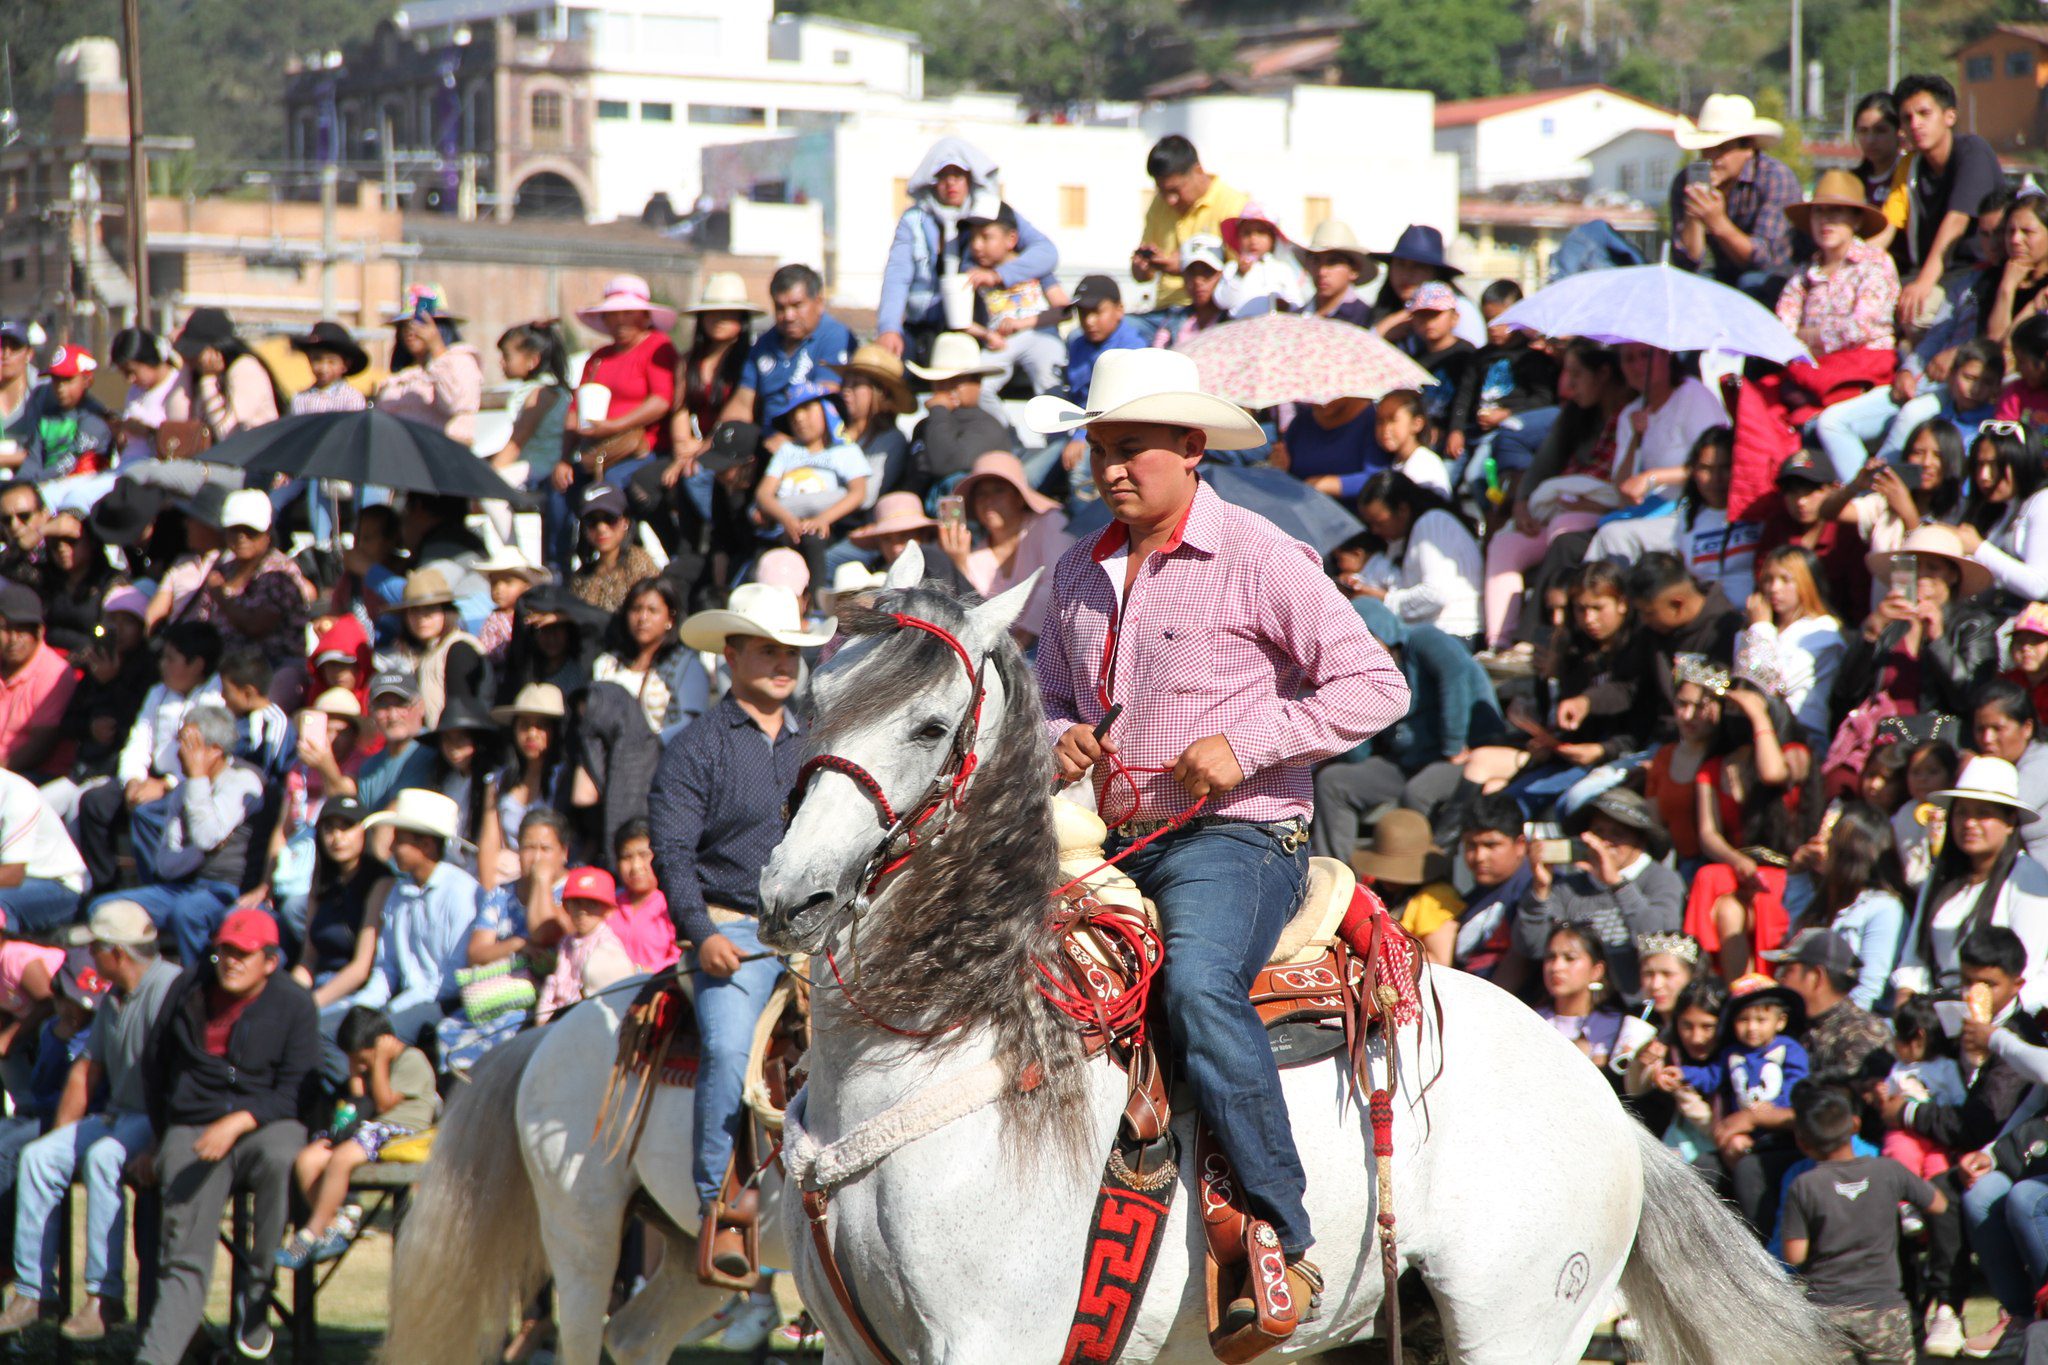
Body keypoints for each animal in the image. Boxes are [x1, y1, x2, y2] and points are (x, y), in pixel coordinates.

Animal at [757, 548, 1843, 1365]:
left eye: (929, 724)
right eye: (814, 703)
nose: (790, 895)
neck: (943, 1038)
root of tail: (1605, 1101)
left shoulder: (994, 1339)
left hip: (1518, 1327)